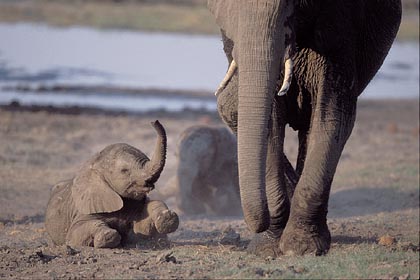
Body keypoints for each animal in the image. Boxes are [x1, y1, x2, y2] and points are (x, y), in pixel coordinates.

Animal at [44, 121, 179, 248]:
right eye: (124, 170)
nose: (154, 122)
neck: (95, 162)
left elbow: (143, 225)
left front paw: (168, 218)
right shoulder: (89, 205)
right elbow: (76, 231)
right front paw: (109, 235)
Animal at [208, 0, 402, 256]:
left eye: (292, 4)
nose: (259, 224)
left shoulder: (337, 29)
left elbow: (332, 116)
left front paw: (301, 248)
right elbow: (270, 123)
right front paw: (267, 247)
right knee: (231, 107)